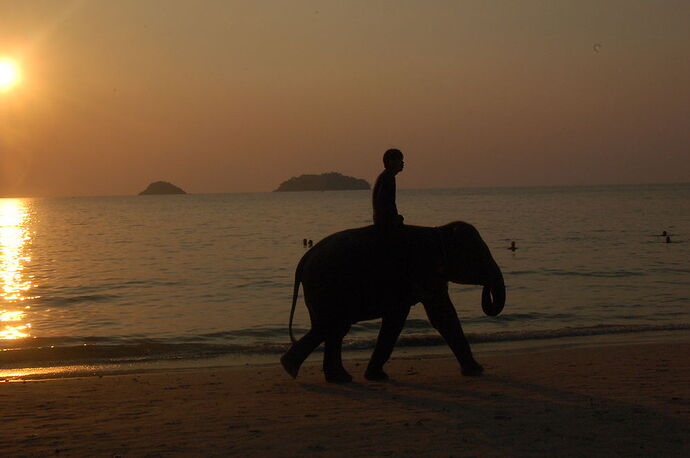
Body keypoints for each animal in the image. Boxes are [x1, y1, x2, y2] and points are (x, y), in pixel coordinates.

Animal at [280, 222, 506, 382]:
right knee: (333, 325)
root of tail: (304, 259)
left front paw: (376, 376)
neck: (438, 230)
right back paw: (292, 368)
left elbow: (401, 318)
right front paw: (477, 371)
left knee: (334, 329)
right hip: (327, 287)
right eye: (480, 258)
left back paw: (331, 376)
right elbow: (440, 315)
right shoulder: (423, 270)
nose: (486, 289)